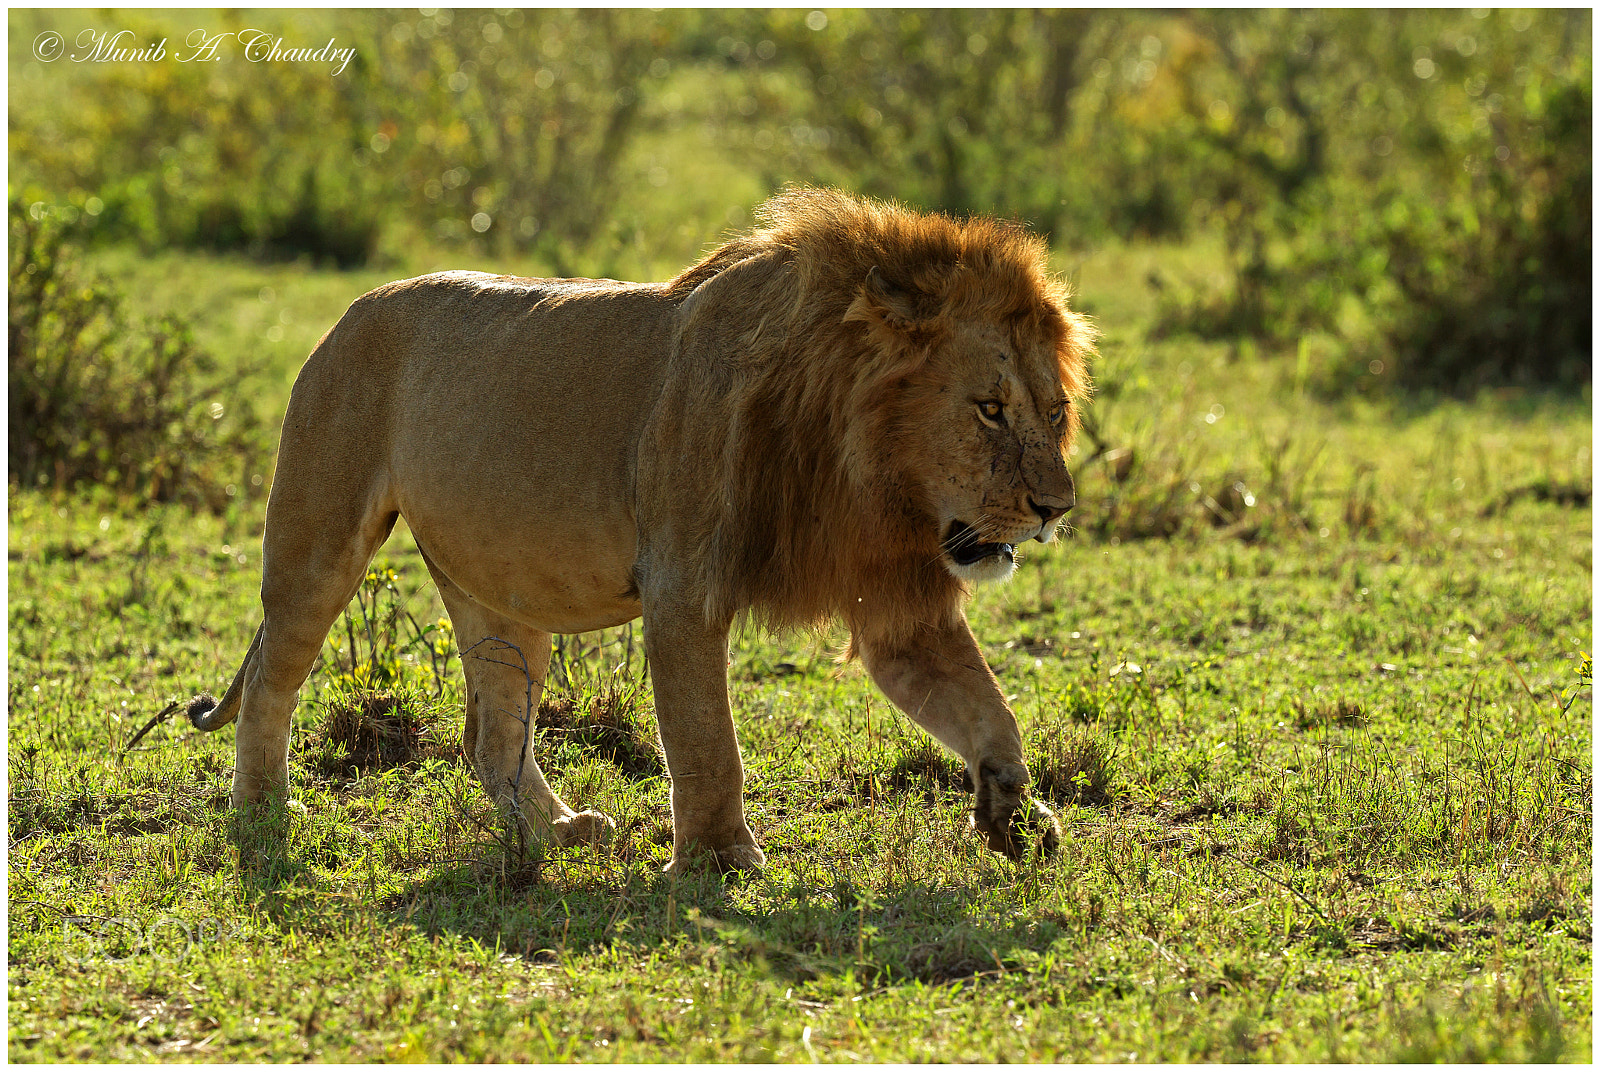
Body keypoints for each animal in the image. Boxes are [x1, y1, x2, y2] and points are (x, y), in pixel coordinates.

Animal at [184, 184, 1088, 870]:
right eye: (989, 409)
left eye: (1053, 412)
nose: (1056, 509)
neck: (865, 464)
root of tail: (348, 313)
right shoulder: (682, 584)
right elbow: (705, 740)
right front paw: (722, 862)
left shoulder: (897, 598)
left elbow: (985, 706)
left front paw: (1014, 809)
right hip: (318, 540)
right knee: (271, 682)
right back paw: (263, 816)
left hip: (504, 591)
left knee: (492, 731)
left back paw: (557, 831)